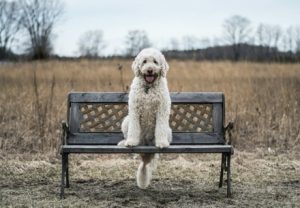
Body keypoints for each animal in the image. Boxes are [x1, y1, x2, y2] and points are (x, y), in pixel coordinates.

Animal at [118, 48, 172, 189]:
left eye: (155, 62)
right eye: (144, 61)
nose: (150, 70)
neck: (148, 88)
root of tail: (146, 145)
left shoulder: (162, 110)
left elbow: (160, 129)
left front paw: (161, 143)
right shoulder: (134, 110)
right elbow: (134, 129)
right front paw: (131, 142)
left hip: (168, 130)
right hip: (126, 121)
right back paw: (125, 143)